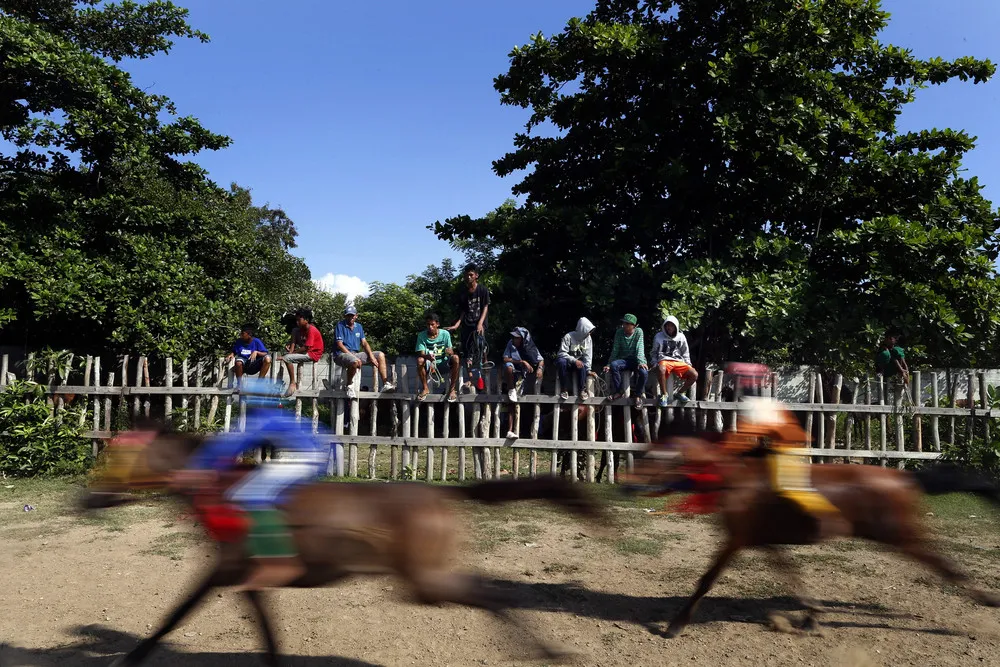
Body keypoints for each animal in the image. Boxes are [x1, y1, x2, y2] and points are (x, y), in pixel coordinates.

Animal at [82, 426, 608, 664]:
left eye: (116, 462)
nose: (85, 499)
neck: (219, 492)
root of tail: (441, 493)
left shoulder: (225, 570)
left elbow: (174, 616)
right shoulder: (241, 576)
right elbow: (256, 626)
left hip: (423, 579)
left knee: (489, 594)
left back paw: (546, 651)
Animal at [624, 430, 1000, 640]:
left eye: (656, 459)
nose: (630, 486)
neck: (738, 481)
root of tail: (906, 479)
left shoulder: (737, 539)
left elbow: (706, 580)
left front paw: (675, 626)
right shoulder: (762, 541)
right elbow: (790, 574)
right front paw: (811, 615)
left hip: (902, 536)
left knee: (945, 567)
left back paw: (986, 602)